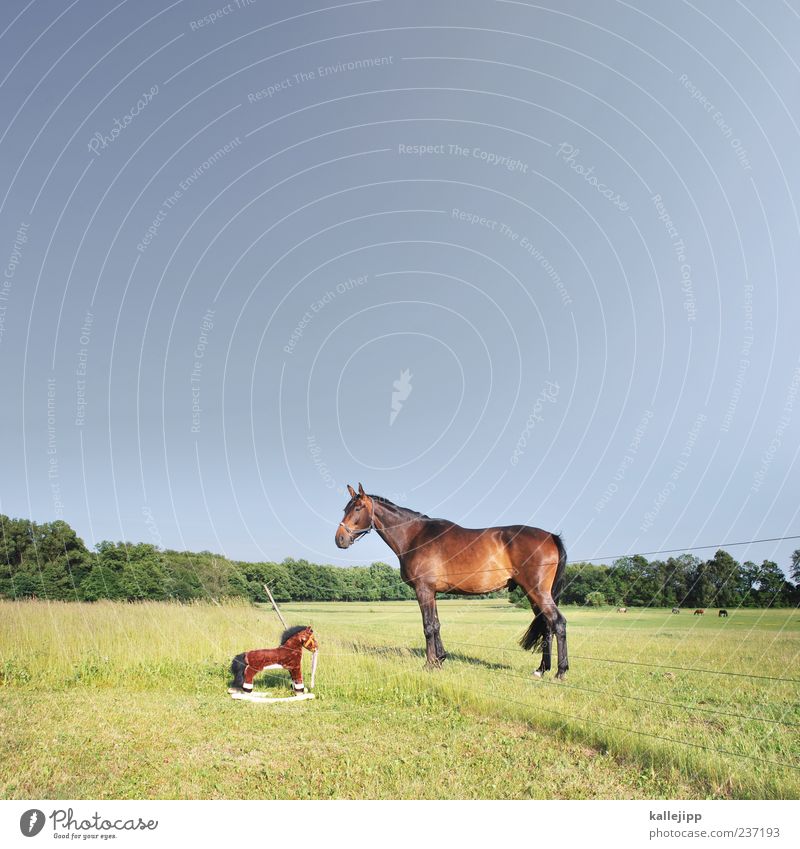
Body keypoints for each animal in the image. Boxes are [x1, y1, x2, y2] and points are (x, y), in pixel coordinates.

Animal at [336, 484, 568, 676]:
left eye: (358, 508)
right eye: (345, 509)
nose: (340, 539)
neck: (414, 536)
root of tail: (550, 536)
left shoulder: (423, 590)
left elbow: (428, 626)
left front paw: (429, 664)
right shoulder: (433, 592)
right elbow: (437, 624)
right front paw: (440, 659)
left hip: (537, 591)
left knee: (558, 623)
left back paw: (560, 671)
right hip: (533, 594)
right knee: (547, 626)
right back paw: (541, 669)